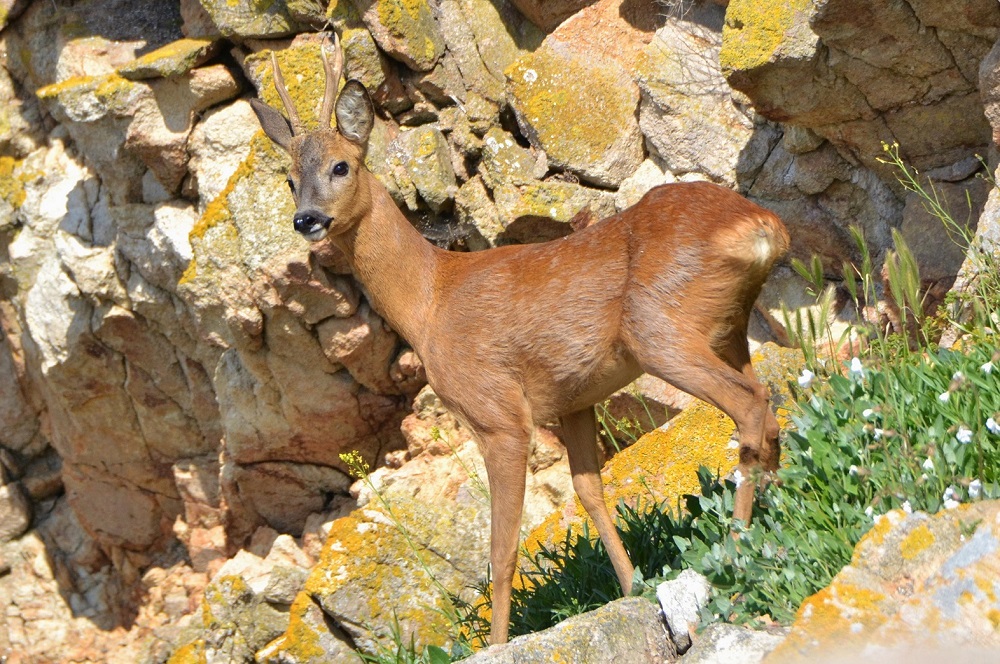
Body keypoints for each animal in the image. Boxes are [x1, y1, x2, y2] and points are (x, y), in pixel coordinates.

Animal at [248, 33, 788, 644]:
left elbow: (500, 551)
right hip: (729, 330)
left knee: (751, 405)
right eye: (290, 179)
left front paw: (499, 641)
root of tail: (763, 228)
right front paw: (633, 588)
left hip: (662, 330)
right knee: (769, 414)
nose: (306, 220)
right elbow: (589, 491)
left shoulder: (498, 414)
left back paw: (740, 553)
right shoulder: (573, 397)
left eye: (341, 165)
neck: (429, 299)